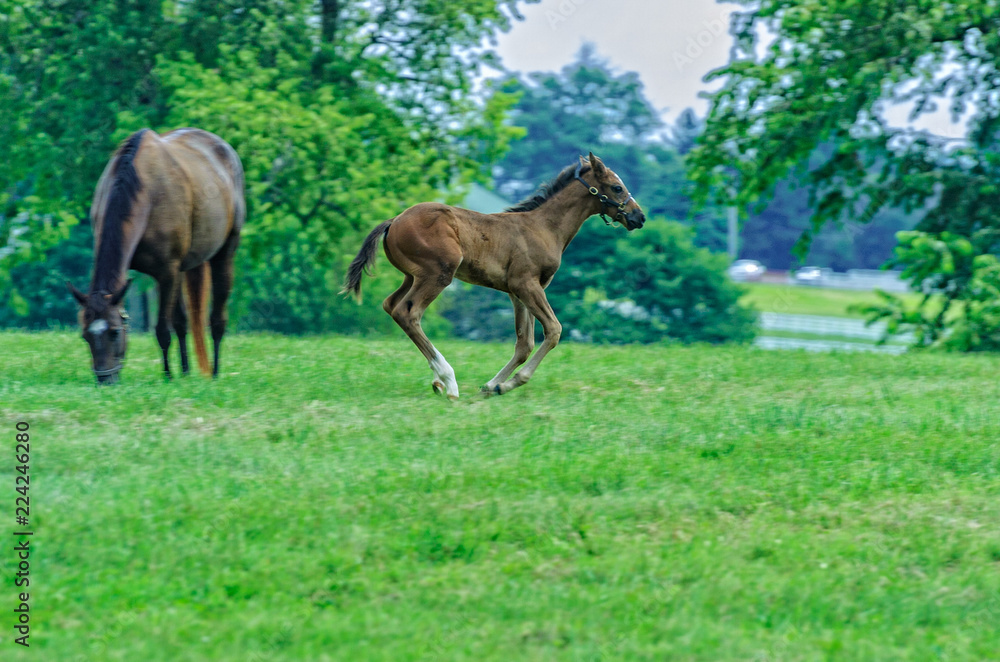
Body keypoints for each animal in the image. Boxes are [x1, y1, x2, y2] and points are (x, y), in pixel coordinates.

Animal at [68, 128, 246, 384]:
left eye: (114, 332)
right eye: (85, 335)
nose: (105, 380)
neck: (143, 193)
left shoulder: (167, 273)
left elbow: (162, 330)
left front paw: (168, 377)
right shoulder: (166, 273)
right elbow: (177, 323)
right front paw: (179, 373)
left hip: (224, 255)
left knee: (217, 320)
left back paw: (214, 373)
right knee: (183, 322)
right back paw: (186, 372)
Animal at [342, 153, 640, 400]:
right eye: (616, 187)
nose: (639, 217)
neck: (544, 227)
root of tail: (393, 220)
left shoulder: (518, 292)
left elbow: (525, 343)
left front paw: (491, 386)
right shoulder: (526, 284)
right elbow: (553, 330)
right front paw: (510, 383)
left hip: (412, 276)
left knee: (391, 305)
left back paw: (438, 381)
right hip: (438, 274)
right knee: (408, 312)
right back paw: (449, 382)